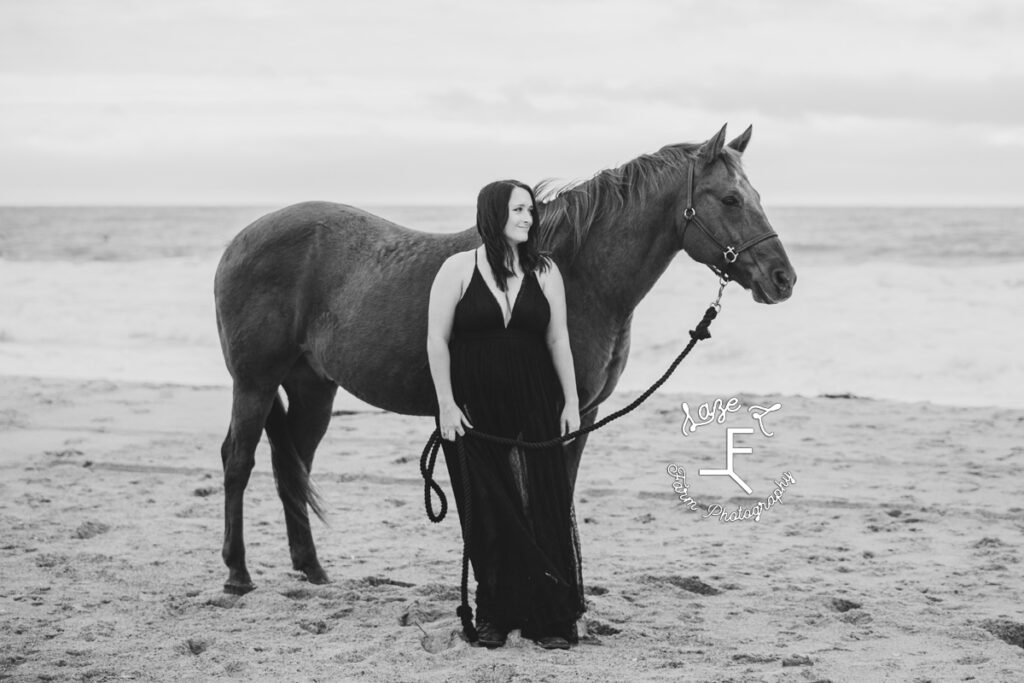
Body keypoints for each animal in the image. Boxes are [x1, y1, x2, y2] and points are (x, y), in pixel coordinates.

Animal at [214, 125, 790, 593]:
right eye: (731, 199)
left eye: (756, 195)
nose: (783, 278)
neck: (574, 276)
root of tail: (239, 241)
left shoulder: (579, 415)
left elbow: (561, 491)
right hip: (254, 384)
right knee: (238, 460)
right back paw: (238, 574)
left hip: (313, 388)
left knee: (293, 465)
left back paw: (311, 569)